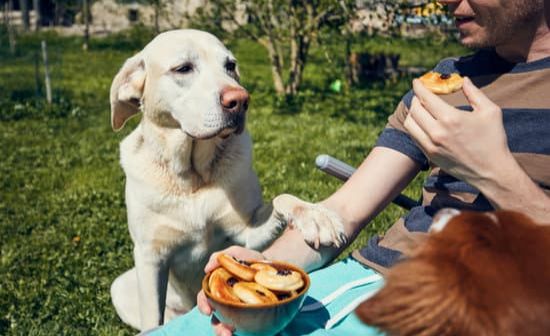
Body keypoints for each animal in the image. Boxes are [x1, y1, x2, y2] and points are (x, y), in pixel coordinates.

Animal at [110, 29, 348, 330]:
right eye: (183, 68)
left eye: (230, 66)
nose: (240, 100)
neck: (193, 176)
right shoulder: (150, 257)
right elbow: (153, 317)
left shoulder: (248, 234)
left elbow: (281, 198)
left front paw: (315, 215)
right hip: (120, 286)